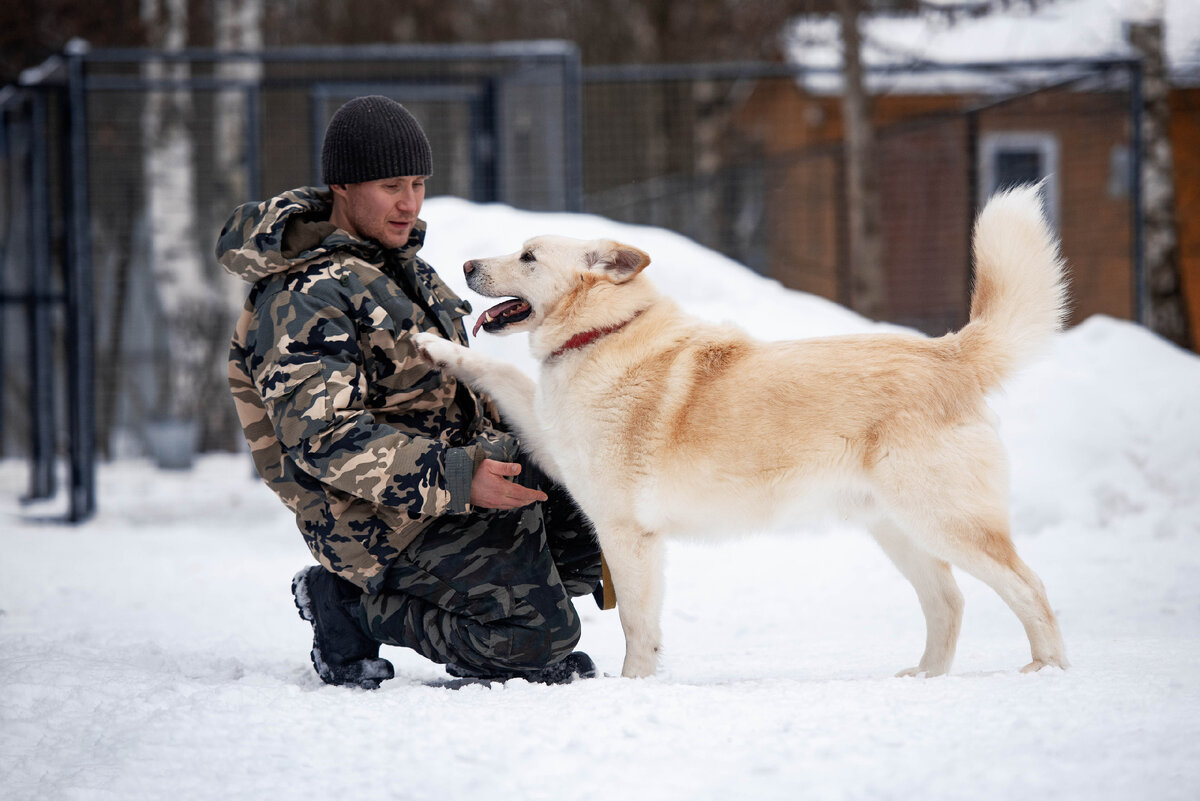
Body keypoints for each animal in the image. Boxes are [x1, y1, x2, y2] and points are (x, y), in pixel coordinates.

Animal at [420, 184, 1070, 681]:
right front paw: (435, 347)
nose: (467, 266)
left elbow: (635, 624)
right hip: (899, 530)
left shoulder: (628, 535)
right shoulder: (555, 443)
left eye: (529, 256)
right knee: (949, 602)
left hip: (943, 521)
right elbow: (501, 370)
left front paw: (632, 686)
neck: (603, 334)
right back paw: (926, 677)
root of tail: (948, 353)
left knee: (1031, 586)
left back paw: (1046, 669)